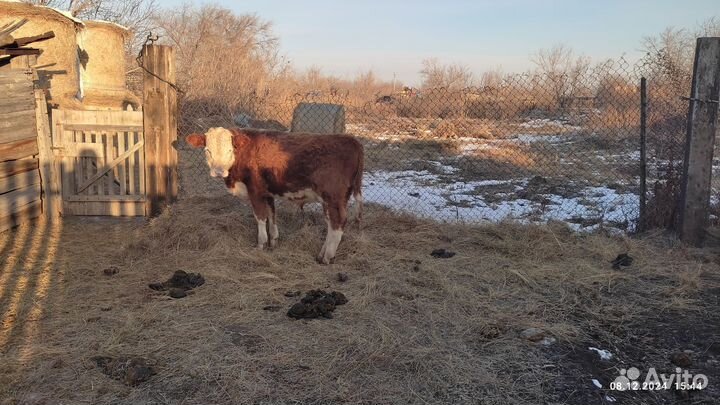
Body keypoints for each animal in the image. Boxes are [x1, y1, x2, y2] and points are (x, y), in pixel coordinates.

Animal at [187, 128, 366, 264]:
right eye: (207, 150)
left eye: (230, 150)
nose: (218, 172)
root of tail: (351, 139)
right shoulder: (267, 193)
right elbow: (272, 216)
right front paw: (273, 242)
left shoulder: (255, 192)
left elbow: (260, 218)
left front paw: (261, 245)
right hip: (330, 200)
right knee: (331, 224)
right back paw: (322, 254)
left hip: (334, 198)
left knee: (337, 224)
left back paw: (327, 257)